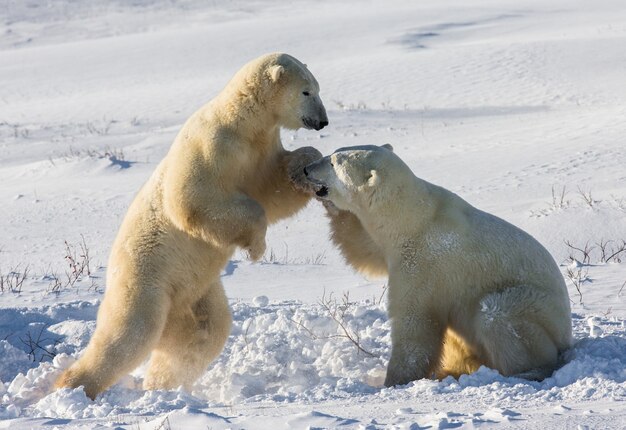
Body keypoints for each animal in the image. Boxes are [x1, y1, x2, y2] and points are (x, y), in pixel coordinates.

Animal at [54, 53, 326, 400]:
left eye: (317, 88)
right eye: (306, 91)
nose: (322, 121)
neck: (242, 123)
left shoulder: (260, 149)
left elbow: (273, 189)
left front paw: (308, 166)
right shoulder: (213, 145)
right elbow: (191, 200)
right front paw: (255, 247)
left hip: (195, 291)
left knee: (204, 332)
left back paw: (163, 385)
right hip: (147, 281)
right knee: (130, 333)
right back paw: (73, 387)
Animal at [302, 144, 572, 386]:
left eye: (334, 162)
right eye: (334, 153)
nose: (306, 168)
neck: (410, 218)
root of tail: (566, 335)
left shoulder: (424, 263)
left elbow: (415, 325)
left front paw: (394, 381)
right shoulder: (390, 248)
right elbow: (365, 248)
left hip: (537, 310)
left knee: (496, 313)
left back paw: (524, 371)